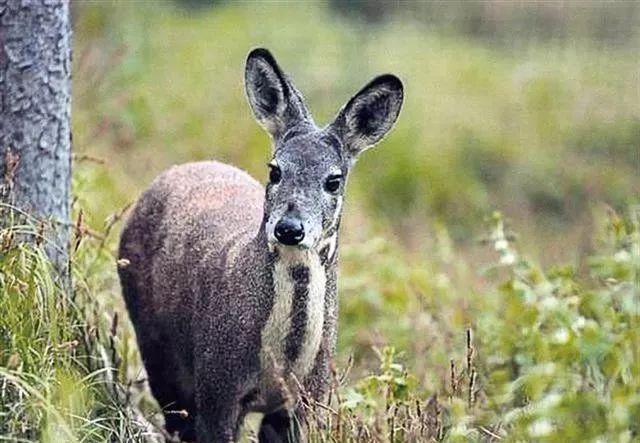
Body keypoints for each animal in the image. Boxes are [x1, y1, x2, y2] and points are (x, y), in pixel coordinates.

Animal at [117, 48, 402, 443]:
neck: (282, 363)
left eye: (333, 180)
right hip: (155, 344)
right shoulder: (217, 385)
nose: (289, 228)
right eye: (275, 170)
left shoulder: (307, 401)